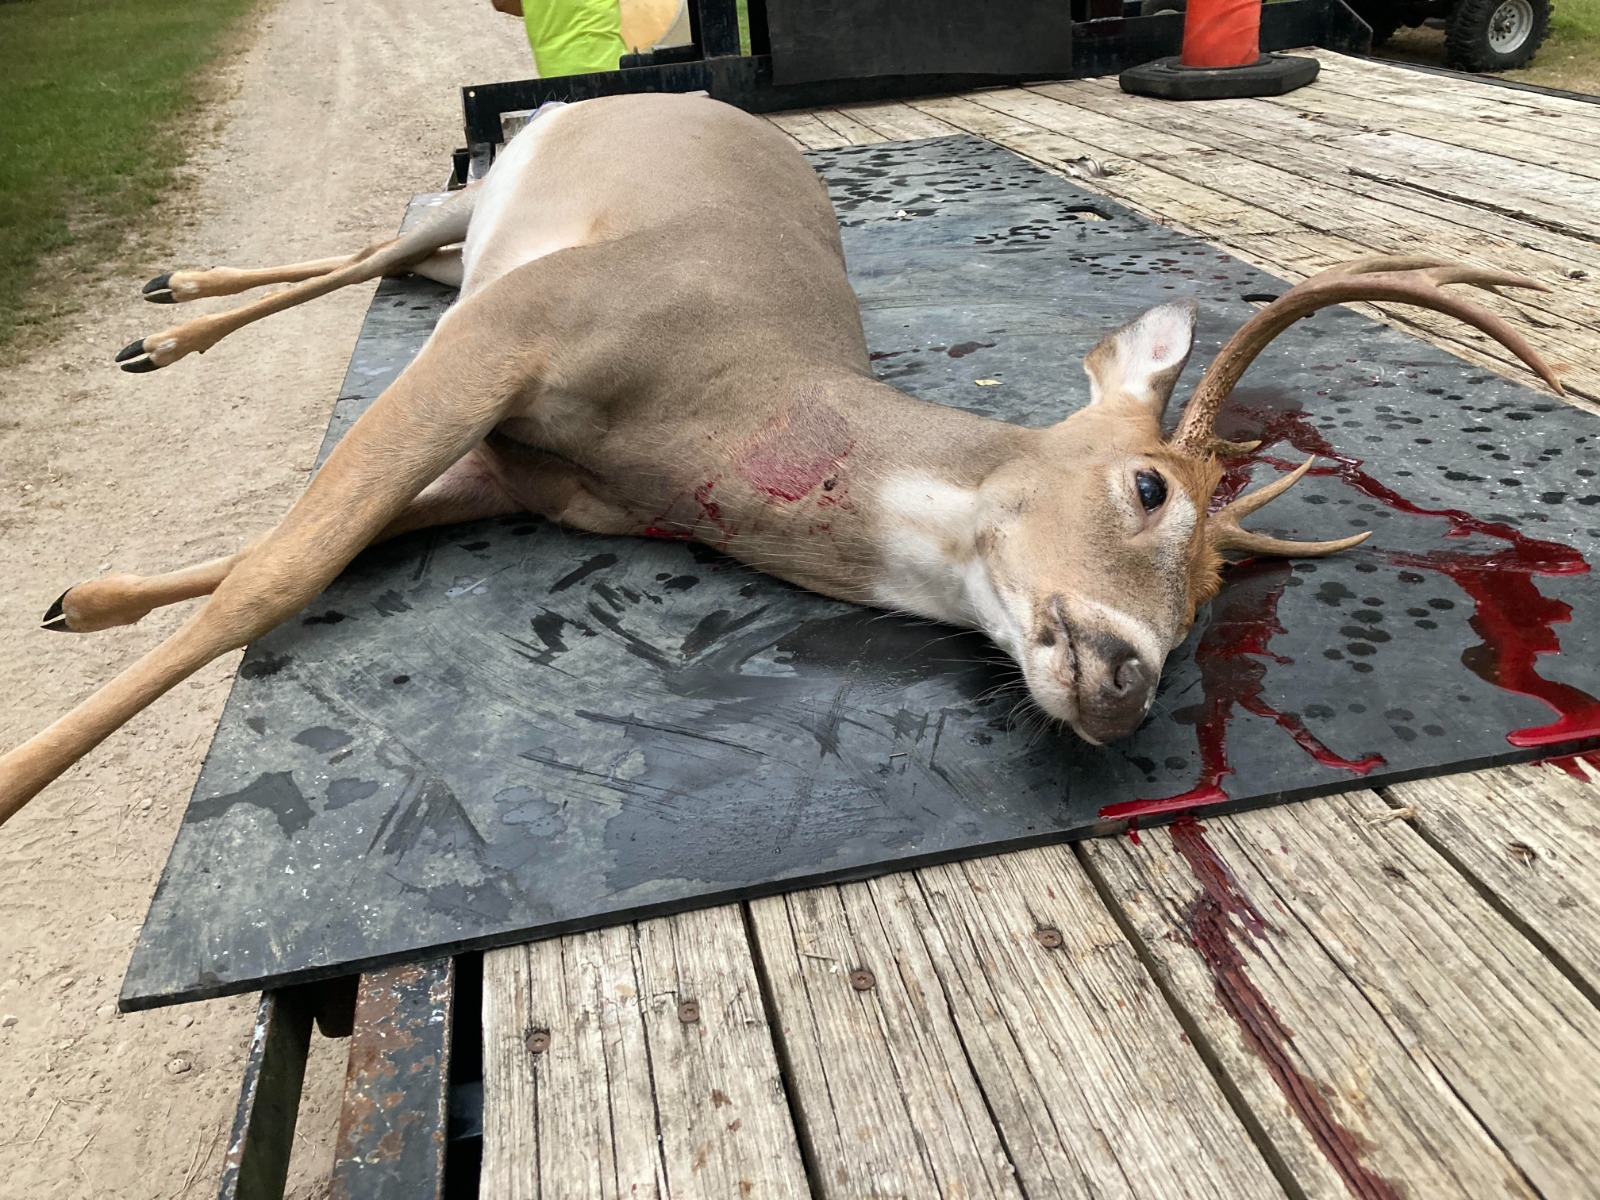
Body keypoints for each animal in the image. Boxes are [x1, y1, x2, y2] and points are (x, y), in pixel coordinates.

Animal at [0, 92, 1562, 826]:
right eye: (1149, 487)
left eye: (1213, 601)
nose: (1125, 677)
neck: (724, 401)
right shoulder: (520, 329)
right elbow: (275, 579)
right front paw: (19, 774)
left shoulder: (526, 474)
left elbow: (314, 546)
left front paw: (89, 597)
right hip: (481, 227)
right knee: (373, 250)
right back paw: (163, 324)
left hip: (468, 252)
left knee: (376, 259)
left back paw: (158, 335)